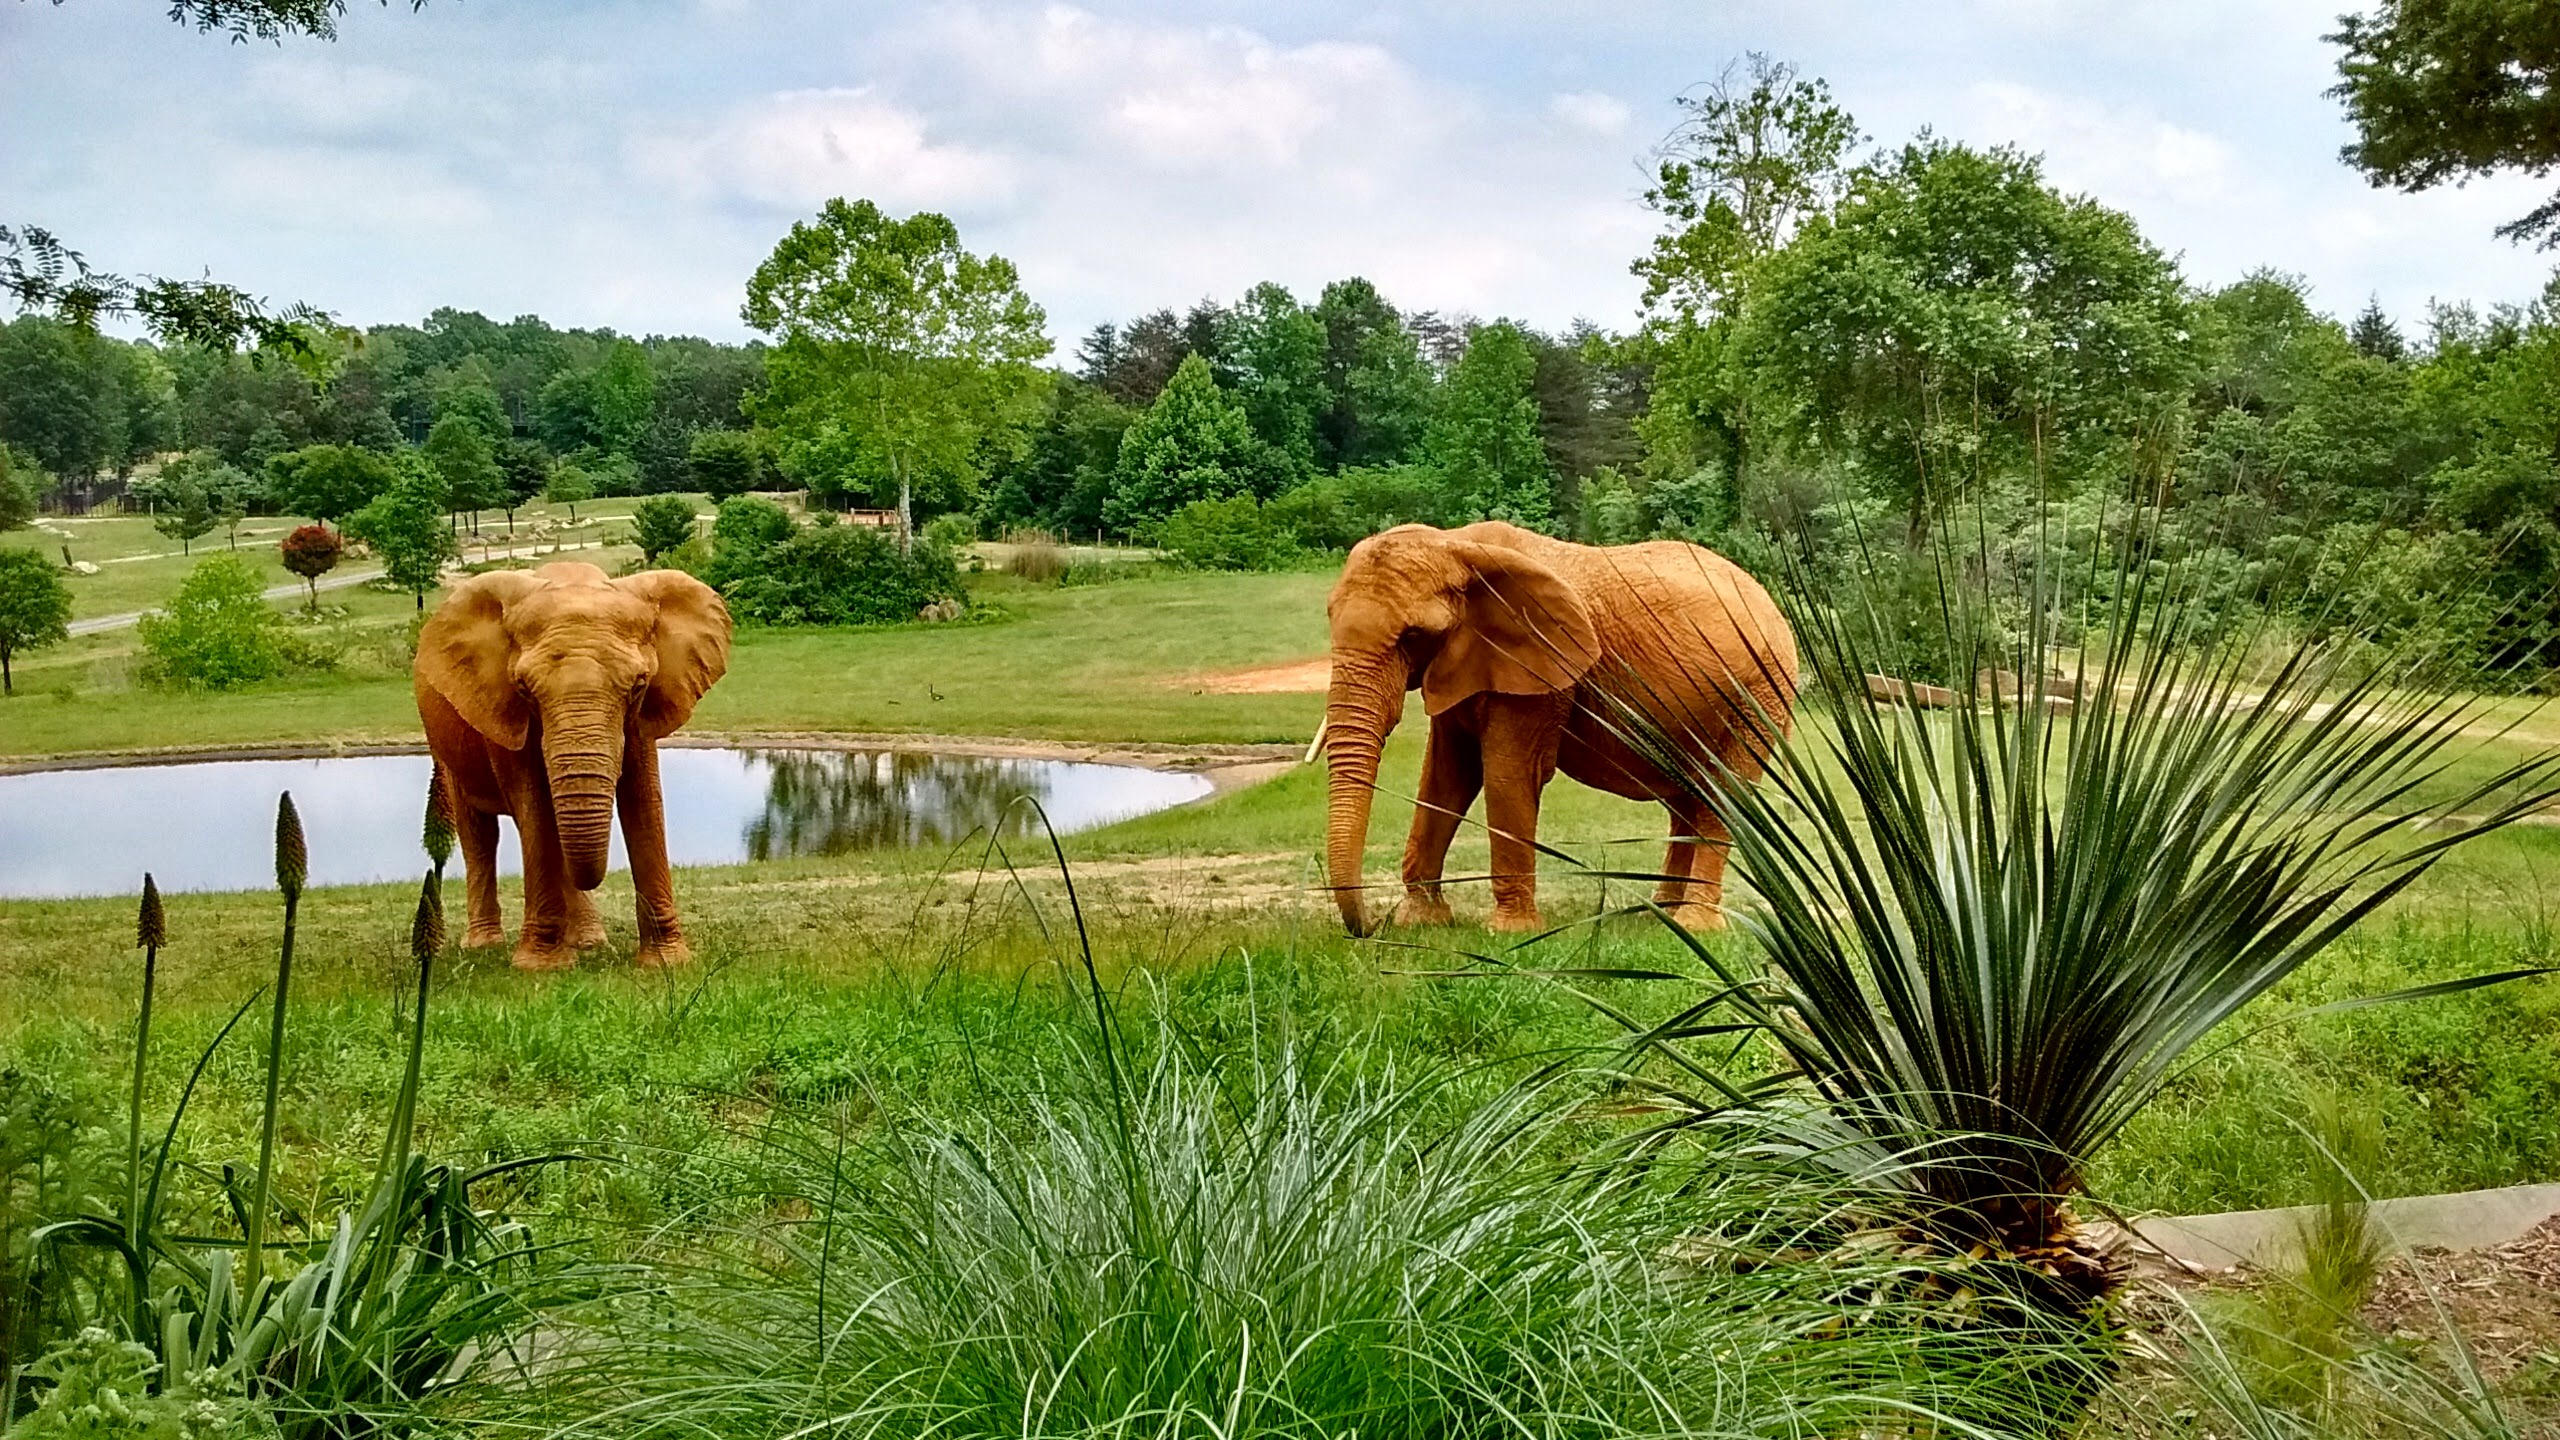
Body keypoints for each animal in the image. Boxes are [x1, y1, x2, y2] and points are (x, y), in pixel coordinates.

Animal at [409, 558, 732, 963]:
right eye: (523, 688)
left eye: (639, 684)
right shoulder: (503, 707)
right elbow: (535, 810)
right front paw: (539, 965)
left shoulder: (643, 713)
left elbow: (643, 803)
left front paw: (667, 962)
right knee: (480, 833)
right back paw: (486, 945)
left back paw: (590, 941)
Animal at [1320, 520, 1802, 937]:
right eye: (1329, 619)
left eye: (1413, 635)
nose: (1369, 927)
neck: (1455, 544)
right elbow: (1445, 779)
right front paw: (1421, 922)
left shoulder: (1541, 669)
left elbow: (1507, 775)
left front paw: (1509, 931)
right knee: (1691, 798)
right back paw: (1661, 915)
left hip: (1760, 691)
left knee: (1725, 793)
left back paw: (1695, 924)